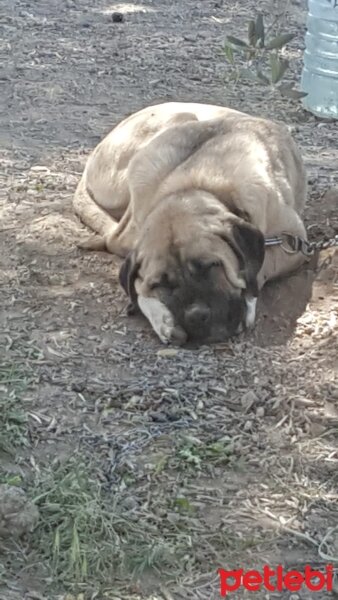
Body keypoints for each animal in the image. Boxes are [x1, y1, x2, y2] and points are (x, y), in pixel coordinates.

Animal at [74, 101, 308, 344]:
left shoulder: (293, 243)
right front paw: (161, 317)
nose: (196, 315)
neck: (194, 185)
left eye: (213, 265)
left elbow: (261, 268)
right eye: (160, 284)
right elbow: (139, 286)